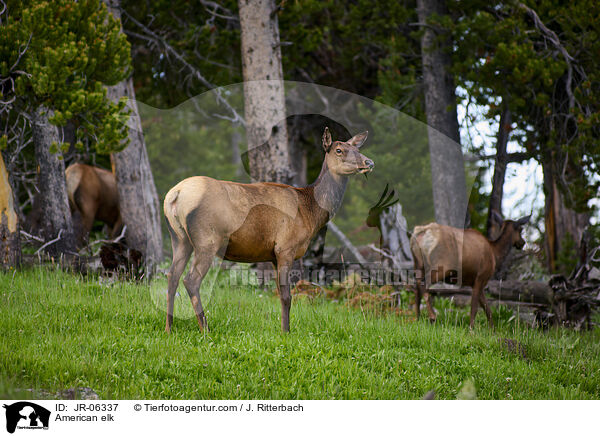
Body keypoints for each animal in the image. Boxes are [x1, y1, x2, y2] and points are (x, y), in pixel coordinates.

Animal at [162, 127, 372, 332]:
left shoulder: (272, 255)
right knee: (191, 280)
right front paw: (286, 332)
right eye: (339, 150)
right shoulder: (285, 247)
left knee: (172, 276)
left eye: (357, 149)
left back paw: (169, 329)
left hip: (180, 239)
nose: (368, 162)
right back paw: (205, 330)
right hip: (207, 239)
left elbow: (279, 294)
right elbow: (287, 296)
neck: (310, 212)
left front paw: (283, 328)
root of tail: (175, 195)